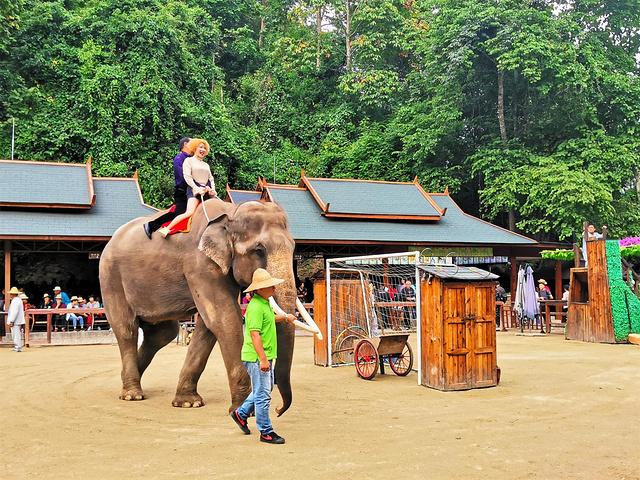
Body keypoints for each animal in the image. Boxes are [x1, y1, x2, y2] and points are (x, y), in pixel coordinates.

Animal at [99, 200, 298, 416]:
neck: (231, 211)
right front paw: (242, 410)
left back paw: (128, 381)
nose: (278, 409)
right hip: (110, 278)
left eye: (293, 247)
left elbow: (208, 325)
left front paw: (188, 403)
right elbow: (224, 319)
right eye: (258, 250)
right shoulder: (200, 265)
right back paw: (132, 395)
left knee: (163, 334)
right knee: (127, 330)